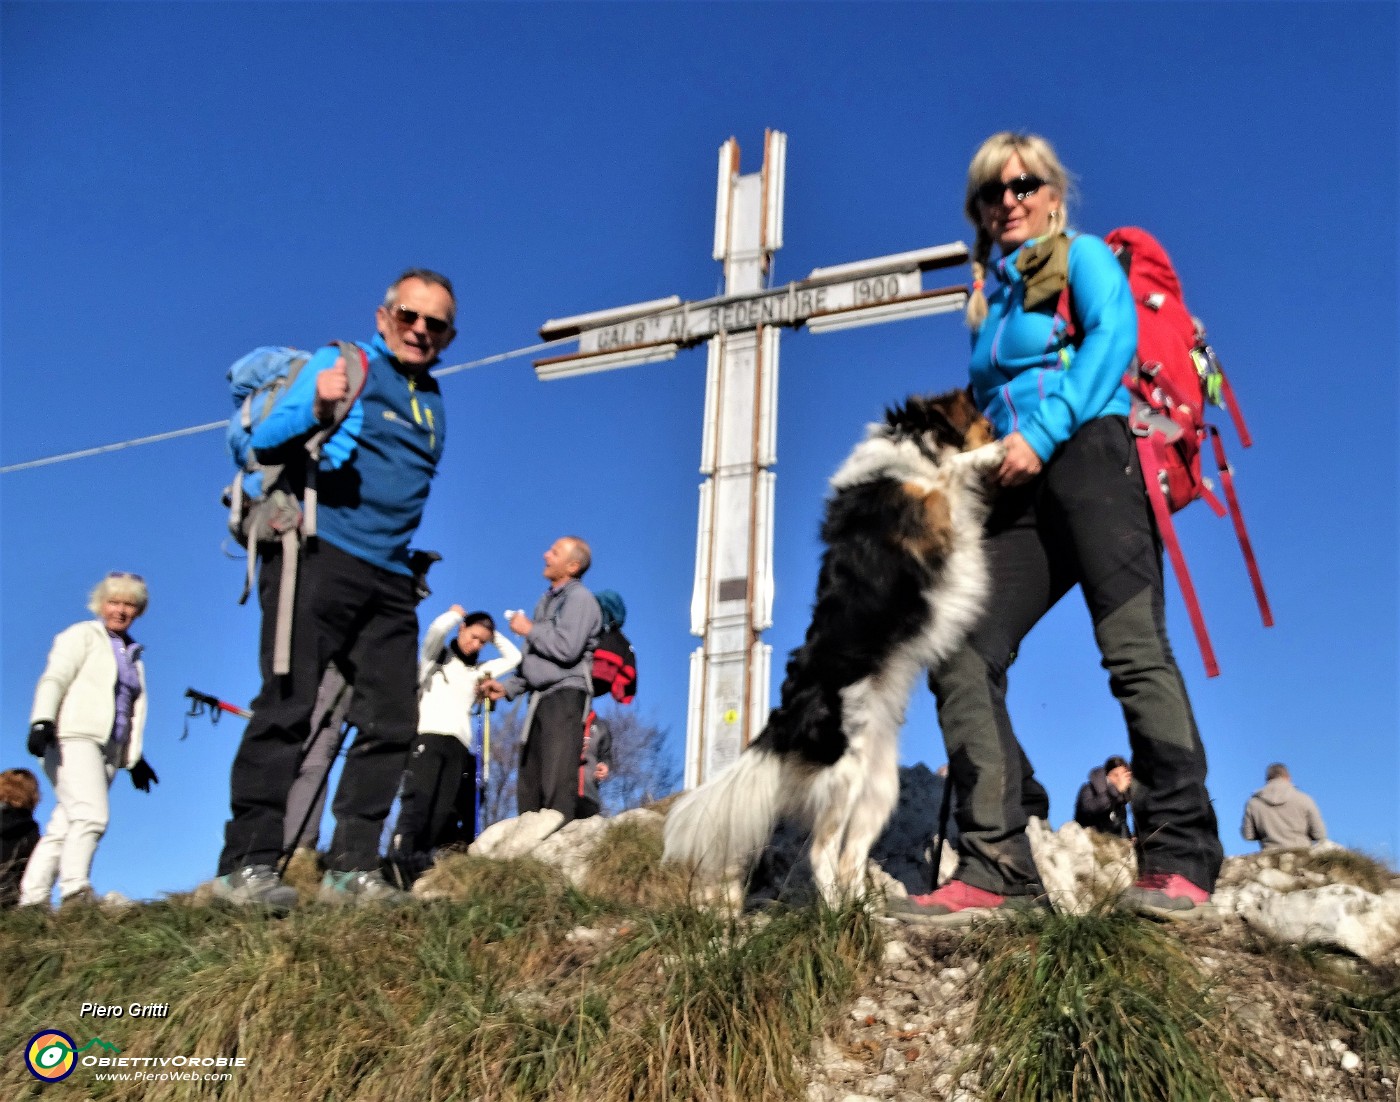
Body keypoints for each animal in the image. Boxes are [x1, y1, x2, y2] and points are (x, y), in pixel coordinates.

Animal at [660, 389, 1002, 907]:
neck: (910, 442)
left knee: (849, 858)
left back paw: (869, 910)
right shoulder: (928, 505)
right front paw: (992, 455)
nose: (1005, 430)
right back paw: (841, 912)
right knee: (821, 853)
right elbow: (953, 471)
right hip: (843, 778)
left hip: (877, 786)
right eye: (987, 421)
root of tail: (785, 718)